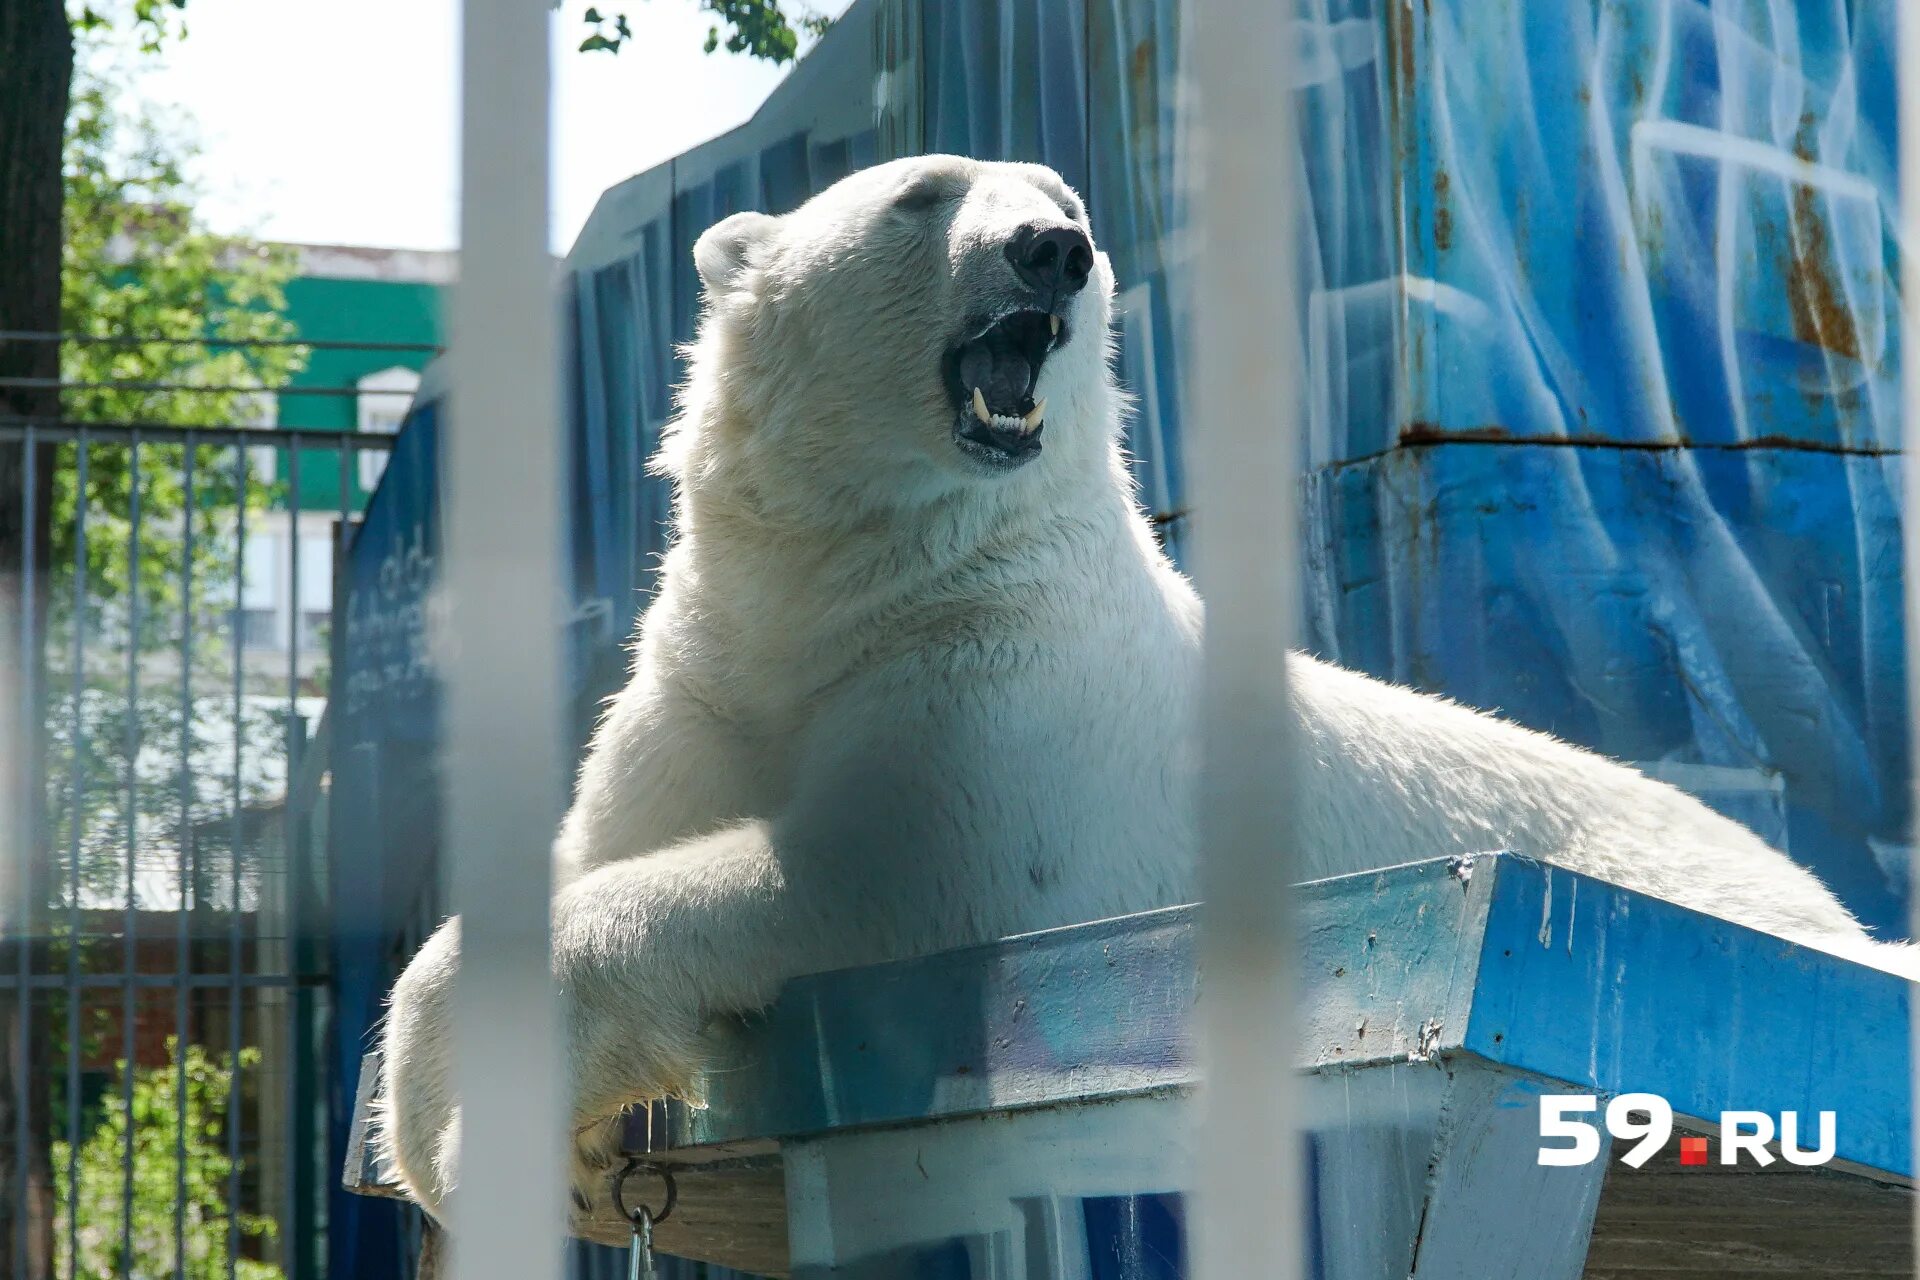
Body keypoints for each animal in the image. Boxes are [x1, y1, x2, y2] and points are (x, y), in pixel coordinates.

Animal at [378, 155, 1904, 1228]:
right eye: (923, 194)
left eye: (1065, 203)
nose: (1052, 251)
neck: (866, 577)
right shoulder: (709, 676)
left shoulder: (1003, 675)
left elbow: (873, 875)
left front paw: (466, 1132)